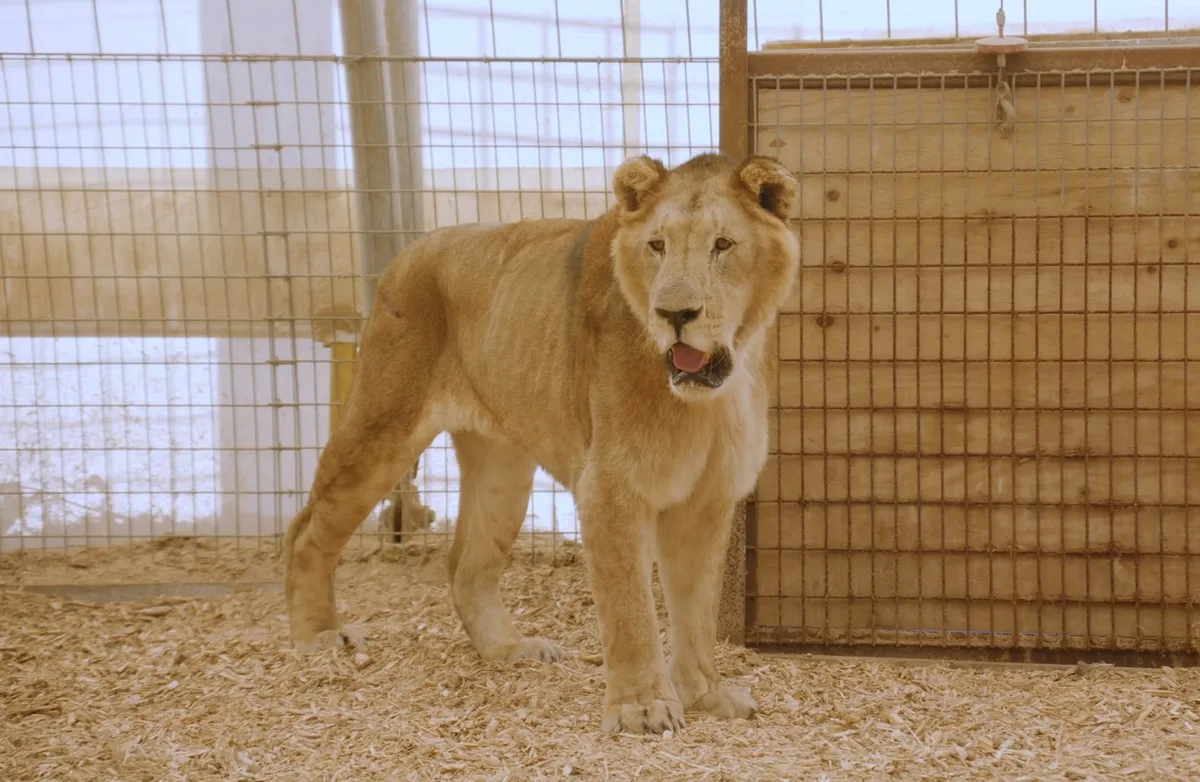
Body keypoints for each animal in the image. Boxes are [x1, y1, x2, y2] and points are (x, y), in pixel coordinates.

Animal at [282, 151, 801, 735]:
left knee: (465, 565)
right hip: (384, 423)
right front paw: (642, 707)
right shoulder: (610, 487)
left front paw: (704, 694)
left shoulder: (707, 498)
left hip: (502, 469)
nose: (674, 314)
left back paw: (509, 649)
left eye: (723, 245)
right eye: (657, 245)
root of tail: (411, 248)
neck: (708, 395)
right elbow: (631, 608)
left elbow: (697, 609)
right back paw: (319, 637)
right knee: (306, 531)